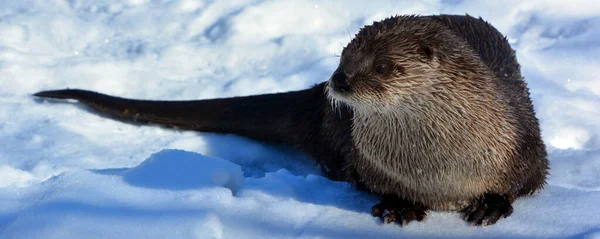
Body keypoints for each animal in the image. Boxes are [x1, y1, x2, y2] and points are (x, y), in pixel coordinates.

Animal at [32, 14, 548, 227]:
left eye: (383, 66)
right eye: (343, 57)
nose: (337, 81)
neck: (440, 171)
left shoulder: (523, 141)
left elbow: (530, 181)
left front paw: (491, 204)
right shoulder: (371, 163)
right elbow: (376, 185)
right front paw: (398, 205)